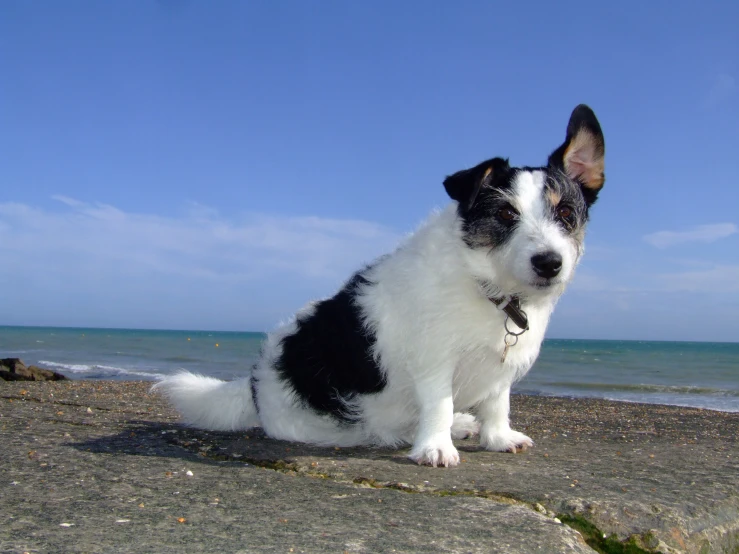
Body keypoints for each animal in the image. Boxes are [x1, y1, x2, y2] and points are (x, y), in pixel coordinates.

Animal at [152, 103, 608, 466]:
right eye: (506, 215)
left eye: (566, 213)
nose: (549, 263)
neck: (488, 285)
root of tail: (253, 386)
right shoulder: (434, 361)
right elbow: (439, 404)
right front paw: (435, 448)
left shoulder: (500, 367)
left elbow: (498, 403)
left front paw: (497, 437)